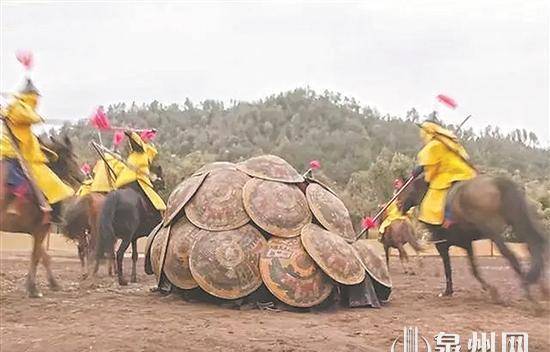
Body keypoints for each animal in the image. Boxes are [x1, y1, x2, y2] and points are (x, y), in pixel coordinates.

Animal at [0, 135, 83, 296]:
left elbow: (44, 256)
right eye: (72, 157)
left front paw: (53, 284)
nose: (83, 176)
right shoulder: (41, 228)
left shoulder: (35, 229)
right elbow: (36, 256)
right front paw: (32, 289)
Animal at [398, 173, 548, 302]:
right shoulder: (466, 244)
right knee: (533, 245)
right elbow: (473, 269)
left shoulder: (442, 246)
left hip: (494, 232)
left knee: (512, 255)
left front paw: (448, 291)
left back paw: (529, 292)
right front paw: (490, 289)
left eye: (405, 190)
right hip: (517, 222)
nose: (398, 205)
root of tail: (498, 182)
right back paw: (541, 289)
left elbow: (448, 268)